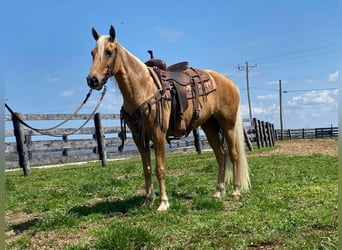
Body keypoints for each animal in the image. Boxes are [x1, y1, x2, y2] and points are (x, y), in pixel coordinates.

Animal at [87, 25, 250, 210]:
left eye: (108, 52)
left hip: (227, 124)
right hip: (210, 126)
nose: (92, 80)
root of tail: (230, 83)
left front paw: (163, 203)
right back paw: (218, 192)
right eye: (92, 53)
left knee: (234, 154)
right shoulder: (139, 137)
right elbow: (147, 169)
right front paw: (148, 200)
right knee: (221, 155)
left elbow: (160, 168)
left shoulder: (158, 134)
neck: (143, 88)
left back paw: (235, 192)